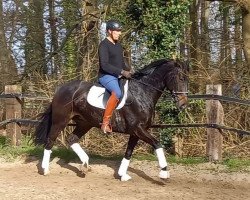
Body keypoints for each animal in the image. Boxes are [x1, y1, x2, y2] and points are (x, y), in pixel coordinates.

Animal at [34, 57, 188, 181]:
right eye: (180, 78)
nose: (183, 104)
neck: (142, 93)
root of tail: (60, 89)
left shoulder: (136, 132)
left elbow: (128, 153)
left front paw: (122, 175)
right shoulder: (138, 129)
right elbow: (157, 144)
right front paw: (164, 173)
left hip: (85, 123)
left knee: (71, 139)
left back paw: (85, 165)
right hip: (60, 121)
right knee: (50, 141)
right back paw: (45, 169)